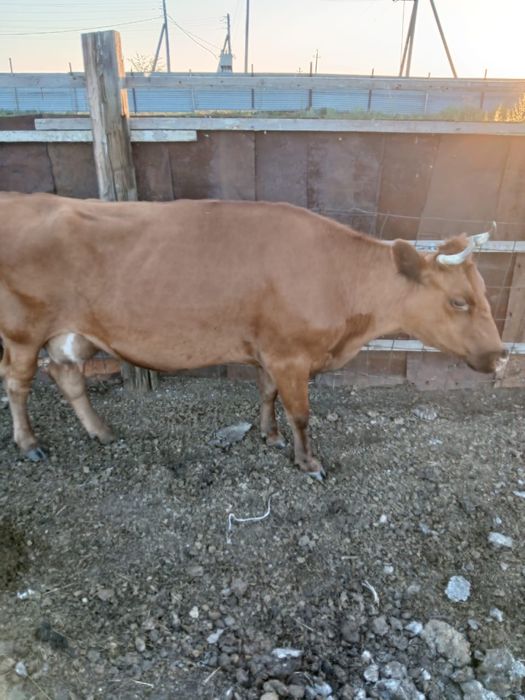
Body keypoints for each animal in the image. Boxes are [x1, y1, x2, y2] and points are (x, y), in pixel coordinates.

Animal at [0, 192, 507, 479]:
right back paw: (29, 445)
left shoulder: (270, 351)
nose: (503, 354)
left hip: (70, 331)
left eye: (483, 292)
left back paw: (101, 431)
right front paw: (308, 463)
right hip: (22, 330)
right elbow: (301, 413)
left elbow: (266, 394)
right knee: (18, 382)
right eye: (459, 301)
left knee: (67, 375)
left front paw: (270, 436)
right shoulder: (290, 356)